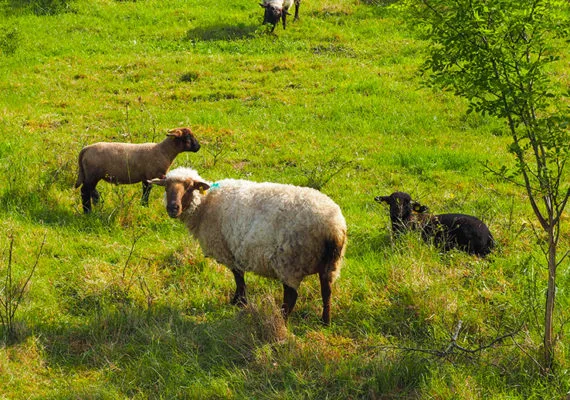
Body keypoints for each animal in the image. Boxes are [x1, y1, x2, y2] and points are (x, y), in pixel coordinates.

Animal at [150, 167, 346, 324]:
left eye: (189, 186)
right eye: (166, 186)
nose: (172, 208)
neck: (204, 206)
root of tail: (333, 226)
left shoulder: (227, 249)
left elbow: (238, 276)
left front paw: (239, 302)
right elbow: (239, 277)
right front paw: (239, 301)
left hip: (291, 261)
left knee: (291, 296)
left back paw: (281, 319)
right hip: (330, 264)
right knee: (326, 292)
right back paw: (325, 322)